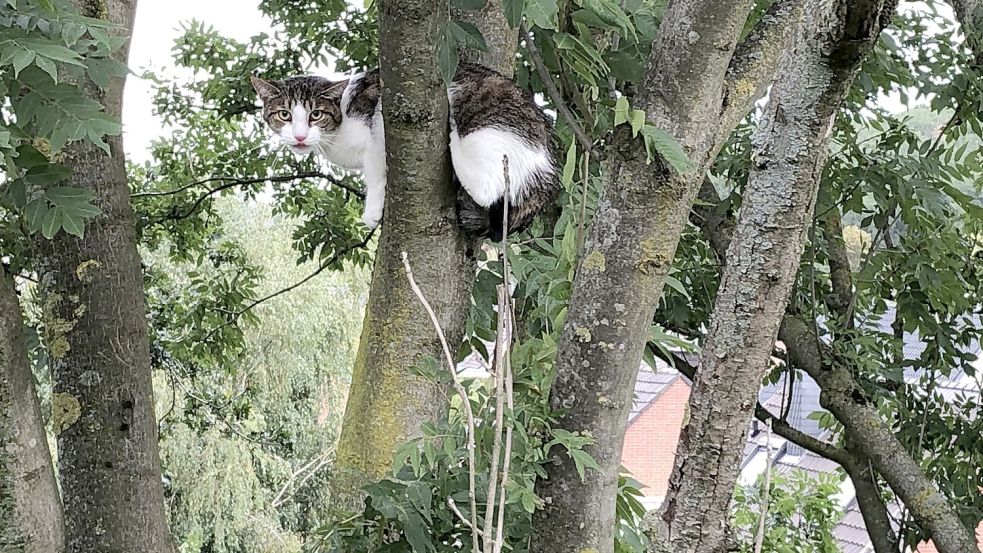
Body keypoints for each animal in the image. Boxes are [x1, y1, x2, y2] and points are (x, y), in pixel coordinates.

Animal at [252, 62, 560, 239]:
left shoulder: (380, 114)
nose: (300, 136)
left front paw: (373, 210)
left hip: (488, 133)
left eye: (315, 115)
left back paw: (452, 137)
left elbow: (376, 167)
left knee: (487, 186)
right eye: (284, 115)